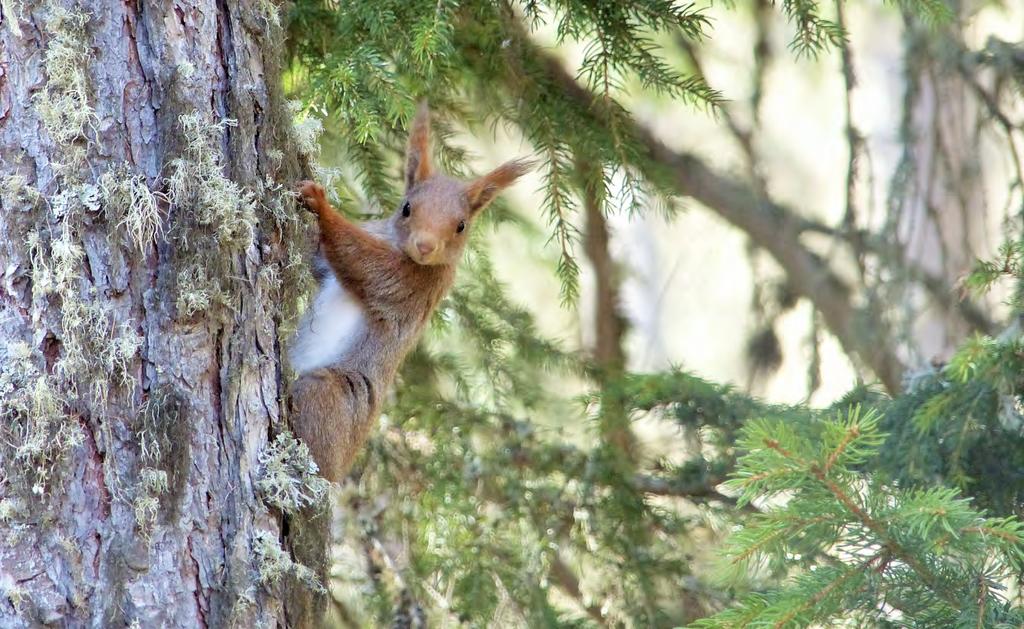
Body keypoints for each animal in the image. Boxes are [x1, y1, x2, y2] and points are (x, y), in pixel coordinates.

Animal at [288, 106, 528, 485]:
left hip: (335, 397)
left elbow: (362, 263)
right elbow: (319, 262)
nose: (425, 246)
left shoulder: (409, 284)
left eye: (461, 226)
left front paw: (321, 205)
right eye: (406, 208)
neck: (396, 245)